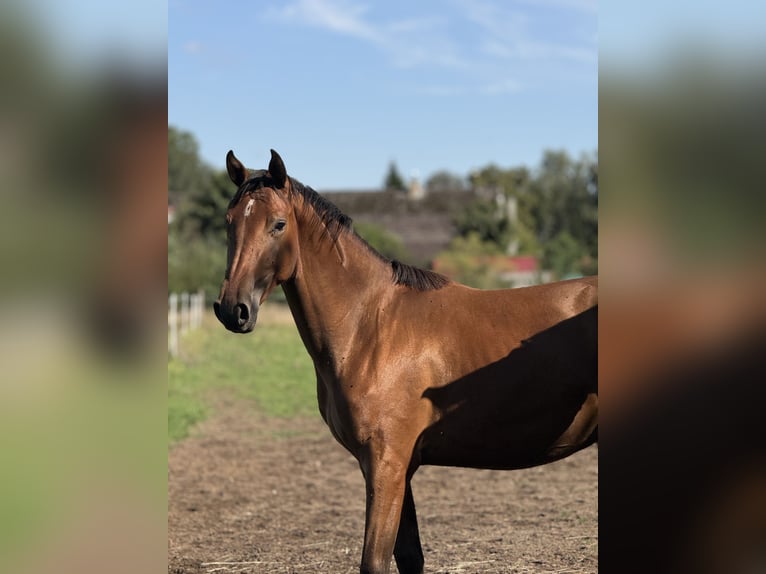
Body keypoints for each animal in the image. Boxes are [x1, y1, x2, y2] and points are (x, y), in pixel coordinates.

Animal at [214, 150, 598, 574]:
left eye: (278, 224)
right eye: (229, 222)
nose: (233, 309)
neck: (371, 325)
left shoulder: (387, 465)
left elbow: (375, 561)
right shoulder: (395, 468)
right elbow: (409, 557)